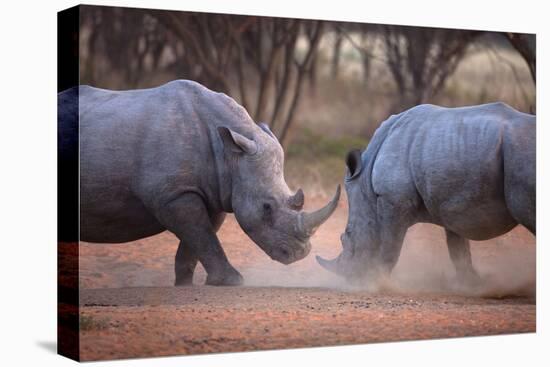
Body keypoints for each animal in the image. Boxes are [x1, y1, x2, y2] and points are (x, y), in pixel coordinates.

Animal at [57, 80, 340, 288]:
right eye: (266, 208)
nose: (299, 254)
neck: (229, 154)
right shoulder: (172, 194)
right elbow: (201, 234)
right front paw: (233, 282)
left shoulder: (214, 191)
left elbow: (199, 237)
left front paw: (186, 284)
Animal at [316, 103, 536, 284]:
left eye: (348, 235)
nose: (352, 278)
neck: (366, 181)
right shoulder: (453, 204)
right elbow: (458, 250)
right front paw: (472, 285)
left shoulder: (393, 200)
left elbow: (390, 246)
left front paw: (376, 283)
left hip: (521, 153)